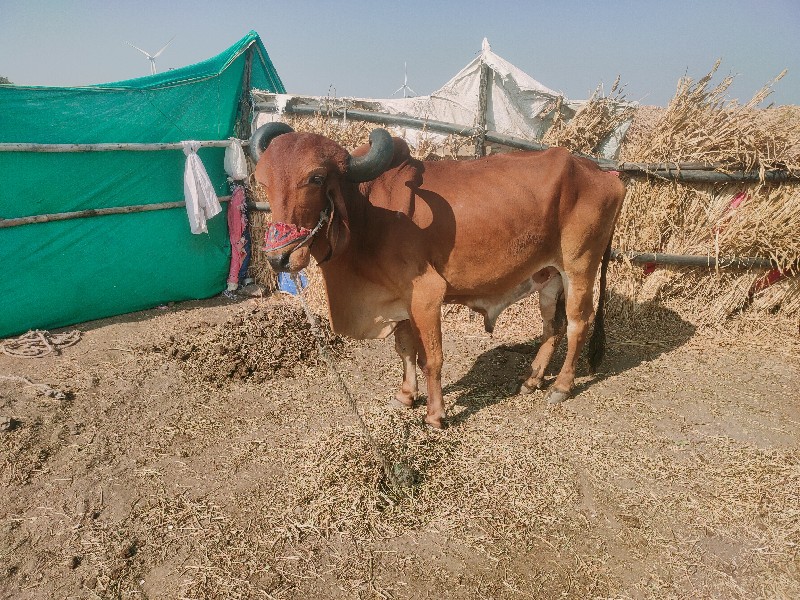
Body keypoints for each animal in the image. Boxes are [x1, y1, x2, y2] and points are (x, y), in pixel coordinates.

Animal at [250, 124, 624, 428]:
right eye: (263, 182)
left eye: (315, 178)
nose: (279, 257)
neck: (368, 209)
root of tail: (606, 175)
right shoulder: (398, 297)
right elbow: (404, 350)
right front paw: (405, 396)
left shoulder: (427, 294)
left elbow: (431, 358)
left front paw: (434, 415)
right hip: (550, 276)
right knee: (552, 327)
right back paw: (532, 380)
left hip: (579, 267)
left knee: (577, 324)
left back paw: (561, 386)